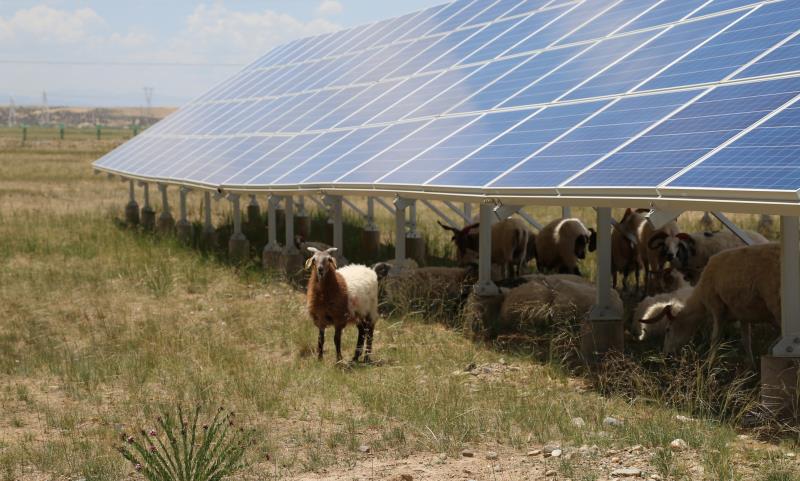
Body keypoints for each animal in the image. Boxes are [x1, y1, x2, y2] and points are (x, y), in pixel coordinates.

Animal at [636, 244, 780, 360]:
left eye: (668, 329)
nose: (666, 355)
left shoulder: (717, 309)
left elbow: (715, 340)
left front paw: (709, 366)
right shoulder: (743, 314)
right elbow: (746, 342)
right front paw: (751, 367)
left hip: (776, 304)